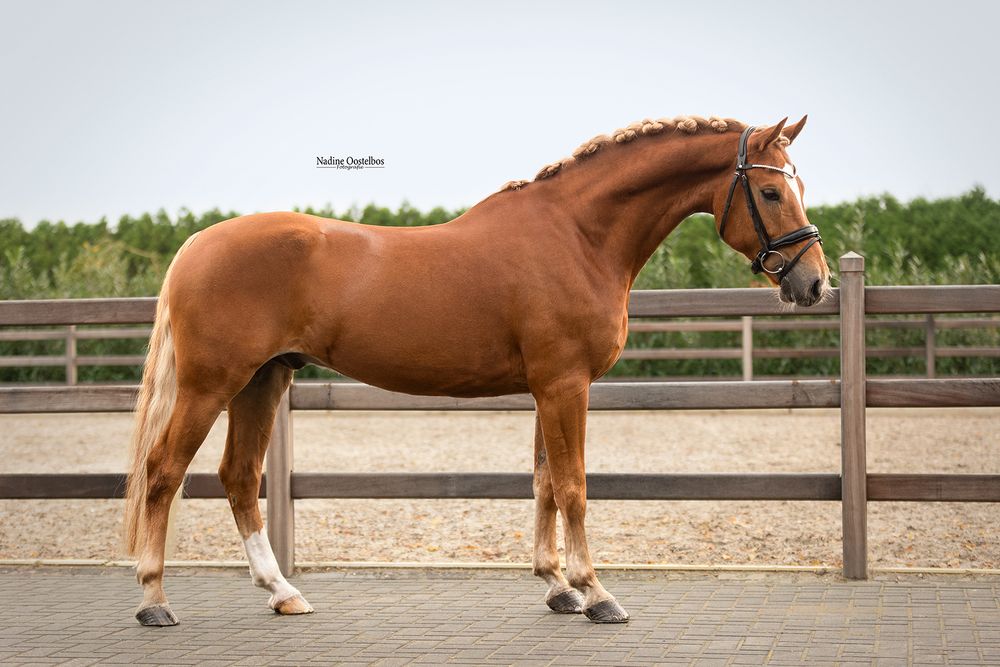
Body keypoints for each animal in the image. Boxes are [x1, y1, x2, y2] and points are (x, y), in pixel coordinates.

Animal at [123, 115, 830, 626]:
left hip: (264, 380)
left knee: (240, 478)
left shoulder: (549, 387)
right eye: (771, 190)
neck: (578, 234)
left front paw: (557, 588)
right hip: (211, 385)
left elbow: (544, 483)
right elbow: (573, 485)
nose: (814, 283)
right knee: (163, 472)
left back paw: (282, 593)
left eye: (798, 186)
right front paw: (597, 594)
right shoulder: (565, 385)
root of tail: (196, 244)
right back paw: (154, 601)